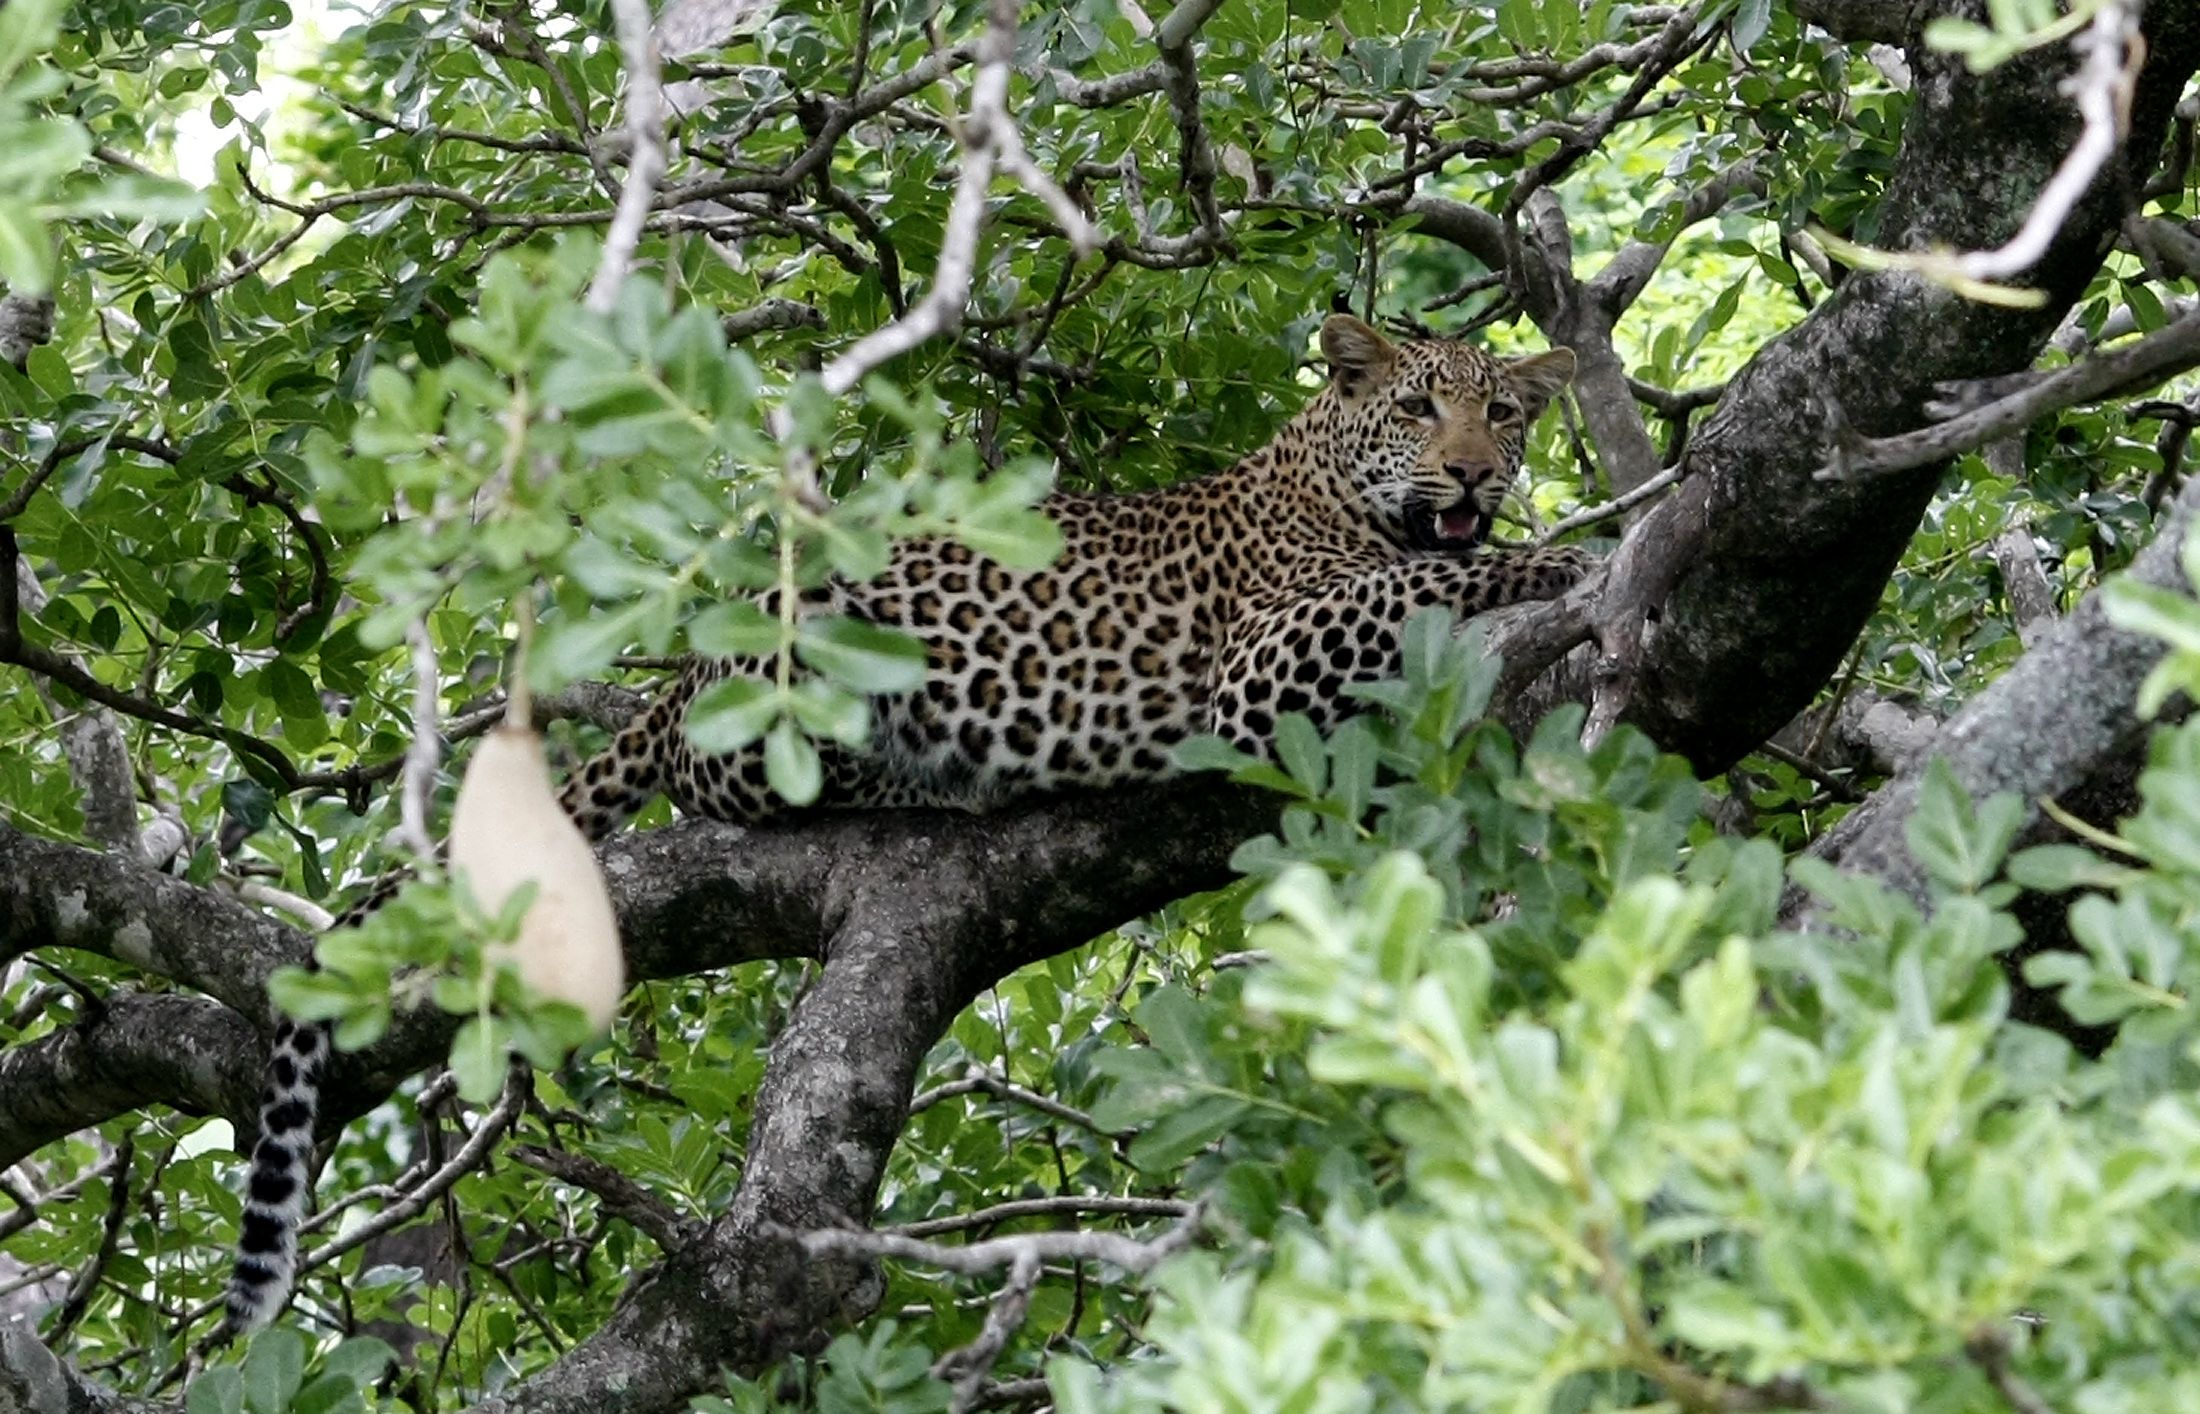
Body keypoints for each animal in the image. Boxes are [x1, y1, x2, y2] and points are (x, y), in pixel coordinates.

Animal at [227, 312, 1601, 1337]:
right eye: (1419, 410)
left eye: (1506, 414)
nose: (1477, 470)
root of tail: (687, 661)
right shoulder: (1260, 659)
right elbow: (1431, 574)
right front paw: (1566, 560)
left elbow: (1433, 564)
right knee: (721, 770)